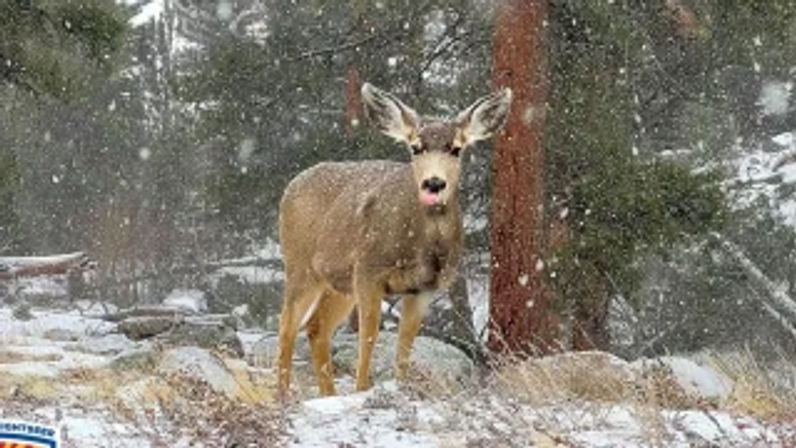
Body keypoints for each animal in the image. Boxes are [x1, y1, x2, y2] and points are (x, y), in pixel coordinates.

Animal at [276, 82, 512, 396]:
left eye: (456, 148)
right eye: (416, 147)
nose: (434, 183)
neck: (420, 247)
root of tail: (292, 186)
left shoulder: (424, 288)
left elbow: (404, 347)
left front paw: (399, 387)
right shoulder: (368, 270)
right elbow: (369, 336)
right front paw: (362, 390)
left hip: (338, 283)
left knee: (315, 327)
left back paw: (328, 395)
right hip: (300, 265)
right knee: (287, 326)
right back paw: (282, 396)